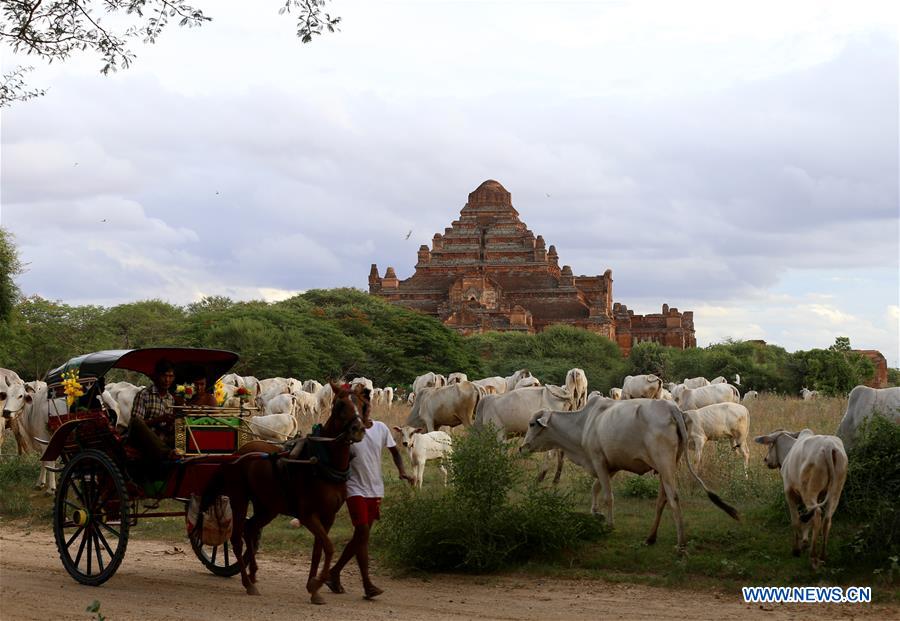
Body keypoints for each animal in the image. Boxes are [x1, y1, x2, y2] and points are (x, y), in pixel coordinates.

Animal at [202, 380, 368, 604]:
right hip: (240, 498)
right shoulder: (307, 515)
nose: (358, 429)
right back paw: (247, 582)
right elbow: (329, 547)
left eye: (361, 404)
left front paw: (313, 588)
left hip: (267, 505)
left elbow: (319, 550)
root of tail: (238, 453)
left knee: (250, 529)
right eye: (340, 405)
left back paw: (253, 574)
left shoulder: (328, 516)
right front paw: (317, 584)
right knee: (237, 537)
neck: (322, 463)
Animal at [520, 398, 740, 548]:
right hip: (669, 464)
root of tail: (671, 408)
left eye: (531, 424)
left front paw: (609, 524)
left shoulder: (598, 460)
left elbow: (608, 495)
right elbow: (595, 488)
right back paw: (651, 538)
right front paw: (596, 512)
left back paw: (681, 544)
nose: (522, 447)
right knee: (662, 499)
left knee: (673, 497)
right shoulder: (611, 465)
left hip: (664, 462)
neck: (584, 424)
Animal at [756, 428, 848, 568]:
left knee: (817, 515)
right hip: (835, 491)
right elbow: (806, 519)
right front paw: (804, 541)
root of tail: (828, 447)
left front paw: (797, 549)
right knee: (826, 519)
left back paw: (813, 556)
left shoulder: (789, 493)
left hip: (809, 492)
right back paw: (822, 556)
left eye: (771, 444)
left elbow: (796, 520)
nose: (766, 460)